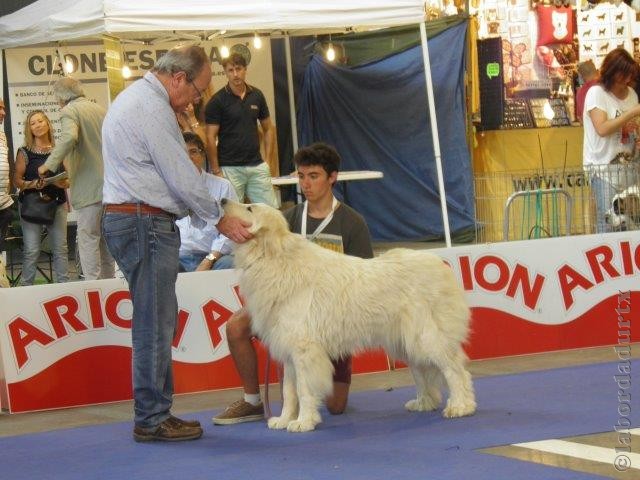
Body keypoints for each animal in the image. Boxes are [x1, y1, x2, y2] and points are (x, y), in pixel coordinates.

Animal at [222, 199, 478, 432]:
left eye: (249, 208)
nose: (223, 201)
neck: (272, 257)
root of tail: (440, 264)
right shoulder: (288, 352)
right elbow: (289, 391)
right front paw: (284, 420)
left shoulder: (304, 350)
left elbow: (303, 390)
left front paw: (303, 422)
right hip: (405, 342)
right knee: (422, 372)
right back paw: (424, 402)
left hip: (426, 337)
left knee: (455, 370)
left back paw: (461, 406)